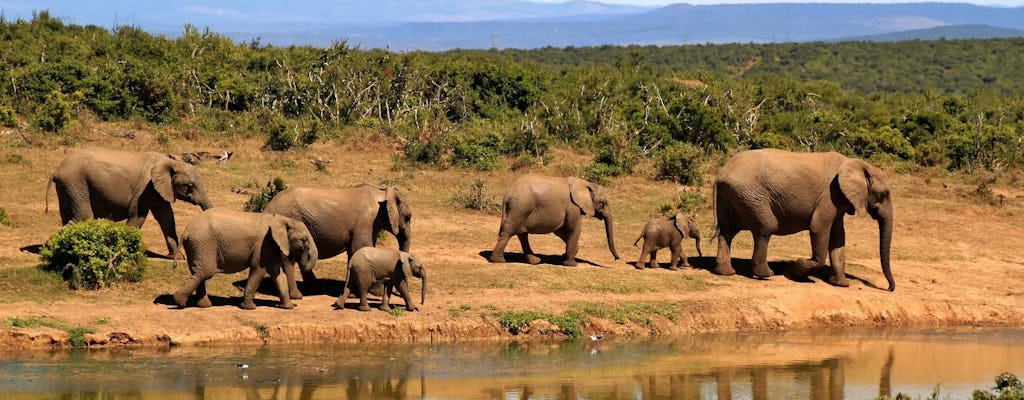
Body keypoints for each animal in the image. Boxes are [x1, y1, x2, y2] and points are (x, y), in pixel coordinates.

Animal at [47, 147, 212, 259]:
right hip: (76, 183)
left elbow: (166, 218)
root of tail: (56, 170)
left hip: (68, 187)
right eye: (189, 186)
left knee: (69, 217)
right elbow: (138, 216)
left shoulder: (159, 190)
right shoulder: (146, 188)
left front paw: (177, 258)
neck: (171, 162)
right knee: (83, 217)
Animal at [172, 208, 317, 310]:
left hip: (197, 246)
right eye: (304, 240)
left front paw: (288, 307)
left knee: (198, 272)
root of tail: (185, 232)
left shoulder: (271, 246)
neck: (282, 219)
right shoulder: (263, 244)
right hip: (203, 244)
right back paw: (179, 301)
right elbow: (259, 269)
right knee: (206, 272)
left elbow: (277, 273)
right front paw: (249, 308)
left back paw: (204, 305)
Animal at [264, 183, 411, 296]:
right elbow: (361, 247)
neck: (382, 192)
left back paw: (315, 289)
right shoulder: (365, 222)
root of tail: (267, 207)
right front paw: (376, 293)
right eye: (408, 217)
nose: (395, 292)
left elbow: (355, 251)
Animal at [485, 174, 614, 265]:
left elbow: (560, 230)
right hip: (521, 206)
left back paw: (535, 261)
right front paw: (571, 263)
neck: (585, 183)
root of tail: (507, 193)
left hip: (520, 208)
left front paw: (566, 255)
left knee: (522, 234)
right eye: (603, 202)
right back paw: (498, 260)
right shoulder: (573, 206)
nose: (616, 258)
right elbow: (573, 228)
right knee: (509, 230)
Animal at [712, 148, 897, 290]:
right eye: (883, 194)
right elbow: (819, 228)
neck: (856, 164)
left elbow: (838, 236)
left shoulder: (838, 200)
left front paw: (841, 284)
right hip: (752, 196)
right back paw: (766, 274)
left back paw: (726, 272)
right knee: (765, 228)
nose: (889, 288)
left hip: (733, 196)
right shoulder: (830, 195)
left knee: (727, 231)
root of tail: (721, 174)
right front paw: (797, 270)